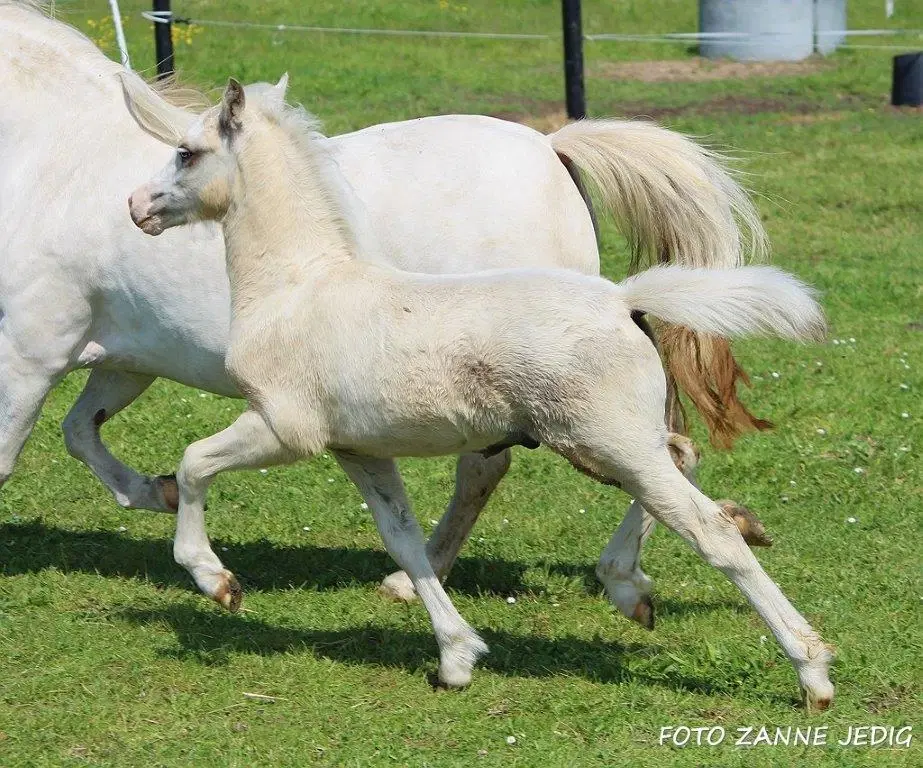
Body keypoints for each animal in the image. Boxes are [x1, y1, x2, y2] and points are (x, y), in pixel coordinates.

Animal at [1, 0, 764, 612]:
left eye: (187, 154)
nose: (136, 207)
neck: (57, 161)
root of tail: (553, 148)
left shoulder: (31, 355)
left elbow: (12, 455)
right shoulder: (120, 360)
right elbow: (82, 434)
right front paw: (155, 494)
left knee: (544, 467)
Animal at [124, 79, 836, 708]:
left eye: (186, 152)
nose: (136, 206)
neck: (298, 286)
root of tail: (622, 298)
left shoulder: (282, 428)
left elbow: (192, 463)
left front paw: (215, 580)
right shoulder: (361, 451)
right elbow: (406, 542)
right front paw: (456, 657)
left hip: (603, 441)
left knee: (709, 528)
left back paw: (811, 672)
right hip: (612, 443)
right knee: (683, 458)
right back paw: (628, 588)